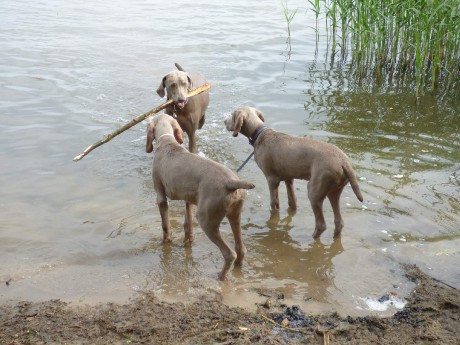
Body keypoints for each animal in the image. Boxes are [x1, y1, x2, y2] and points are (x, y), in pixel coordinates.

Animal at [146, 113, 255, 280]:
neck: (167, 143)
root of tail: (232, 182)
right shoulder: (189, 198)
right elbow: (188, 224)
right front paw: (187, 242)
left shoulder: (160, 196)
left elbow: (165, 226)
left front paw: (165, 242)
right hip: (234, 214)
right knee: (241, 248)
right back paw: (237, 270)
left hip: (206, 219)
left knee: (229, 253)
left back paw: (221, 276)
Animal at [225, 106, 364, 238]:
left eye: (232, 115)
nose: (224, 121)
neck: (260, 133)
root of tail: (344, 161)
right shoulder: (288, 178)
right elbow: (292, 201)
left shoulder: (271, 179)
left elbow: (274, 204)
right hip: (334, 191)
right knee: (339, 222)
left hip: (314, 190)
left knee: (321, 224)